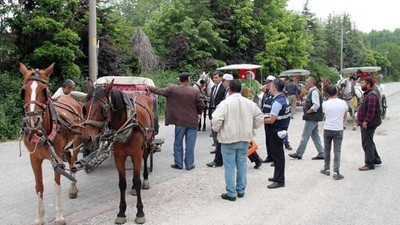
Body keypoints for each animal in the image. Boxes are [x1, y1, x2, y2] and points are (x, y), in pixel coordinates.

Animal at [19, 62, 84, 225]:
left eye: (44, 90)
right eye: (23, 90)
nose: (33, 120)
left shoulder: (56, 157)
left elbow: (56, 186)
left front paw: (59, 216)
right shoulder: (34, 159)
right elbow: (39, 187)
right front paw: (39, 217)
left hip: (77, 142)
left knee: (73, 164)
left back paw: (73, 188)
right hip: (65, 148)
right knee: (70, 161)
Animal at [81, 80, 155, 224]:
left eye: (103, 108)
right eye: (85, 108)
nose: (87, 138)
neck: (126, 124)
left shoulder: (136, 154)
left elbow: (137, 181)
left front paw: (140, 212)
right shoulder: (118, 157)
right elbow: (122, 184)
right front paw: (121, 212)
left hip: (147, 142)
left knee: (145, 157)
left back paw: (145, 180)